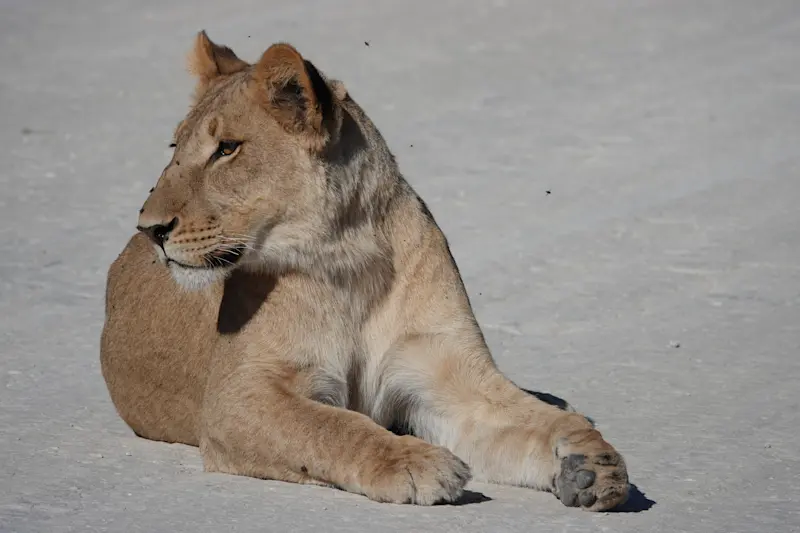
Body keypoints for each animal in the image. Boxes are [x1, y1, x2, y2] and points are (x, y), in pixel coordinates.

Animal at [99, 31, 630, 511]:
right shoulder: (236, 397)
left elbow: (525, 419)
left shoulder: (445, 375)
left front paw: (591, 463)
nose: (150, 229)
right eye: (175, 146)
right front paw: (415, 463)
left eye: (227, 149)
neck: (351, 263)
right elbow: (332, 426)